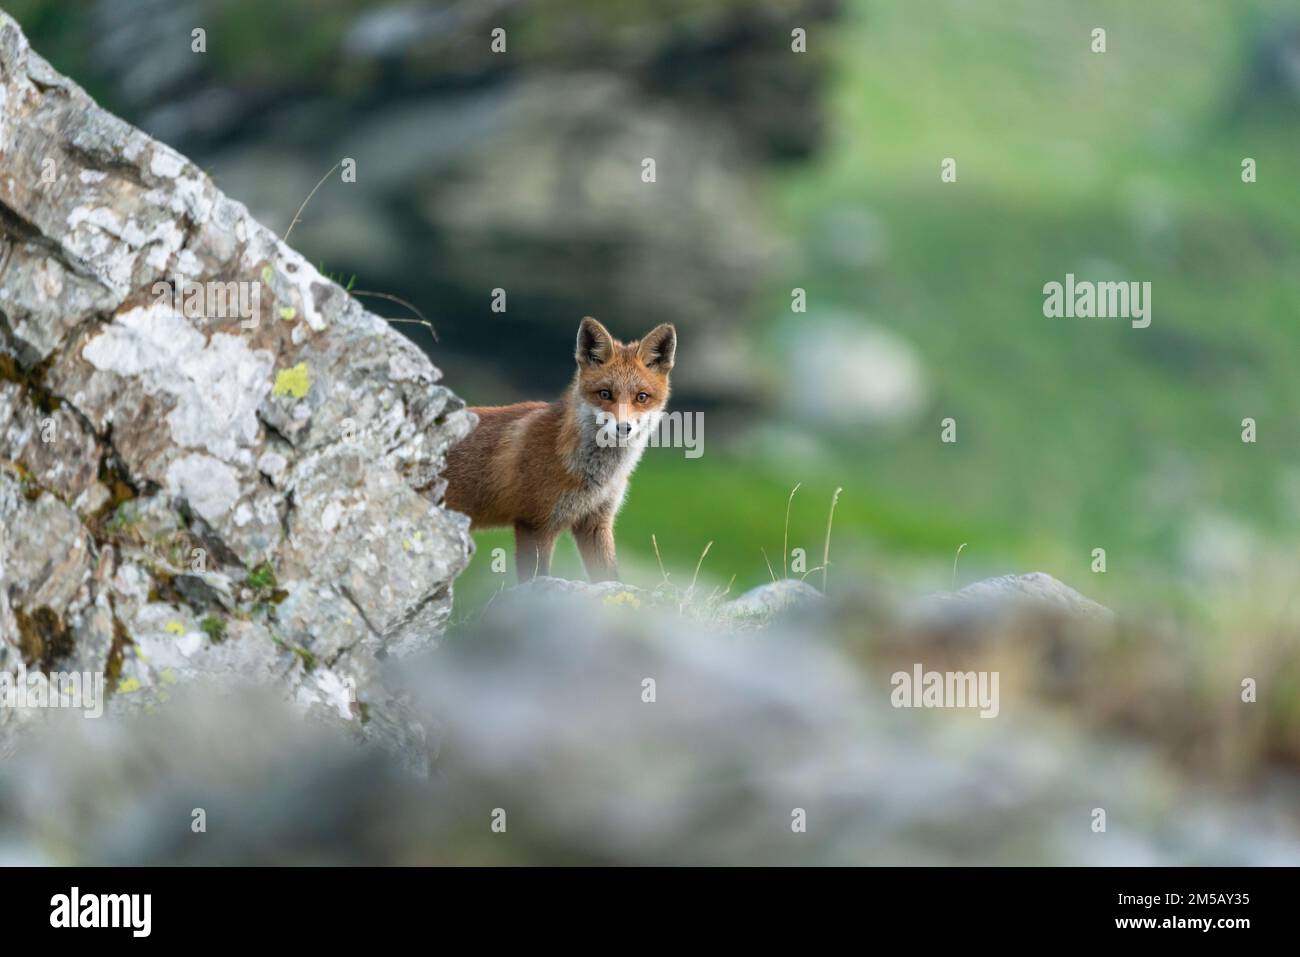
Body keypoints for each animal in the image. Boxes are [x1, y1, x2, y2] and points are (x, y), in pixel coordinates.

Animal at [444, 317, 676, 582]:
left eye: (642, 397)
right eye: (605, 393)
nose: (623, 427)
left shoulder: (595, 522)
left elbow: (609, 577)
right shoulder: (535, 523)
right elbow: (536, 579)